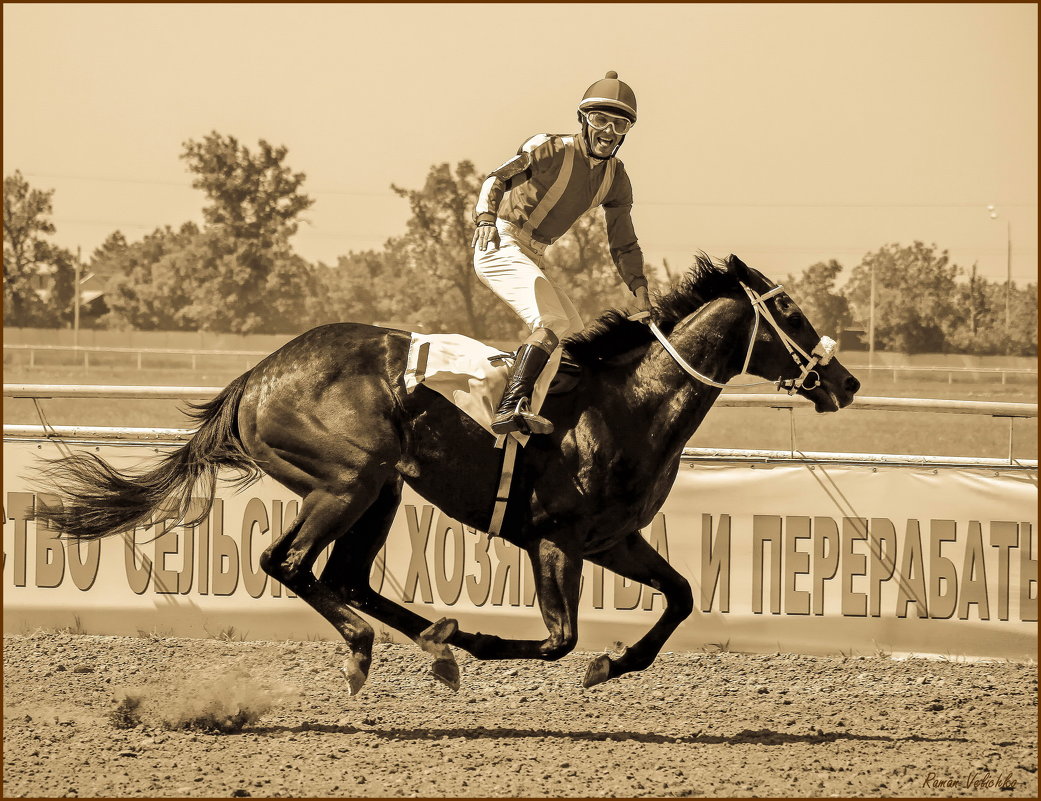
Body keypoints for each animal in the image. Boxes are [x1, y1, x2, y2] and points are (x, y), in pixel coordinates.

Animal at [34, 254, 861, 691]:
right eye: (789, 311)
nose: (846, 381)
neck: (627, 404)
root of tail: (255, 378)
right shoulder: (555, 539)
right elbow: (557, 637)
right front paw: (499, 643)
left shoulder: (614, 538)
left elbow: (682, 595)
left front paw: (614, 662)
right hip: (347, 479)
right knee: (288, 561)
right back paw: (379, 647)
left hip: (381, 488)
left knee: (344, 576)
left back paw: (431, 641)